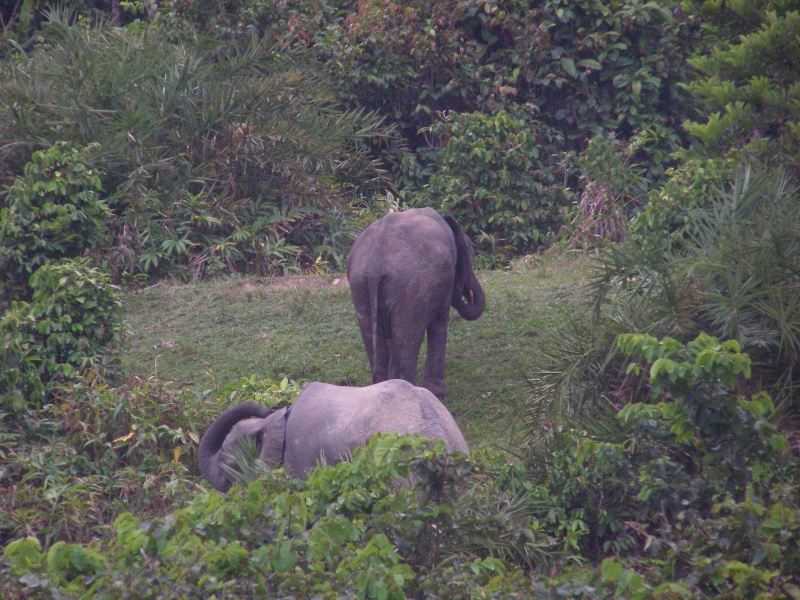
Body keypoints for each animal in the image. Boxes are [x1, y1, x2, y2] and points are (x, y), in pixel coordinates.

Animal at [346, 206, 484, 398]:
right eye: (471, 259)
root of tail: (375, 267)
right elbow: (440, 323)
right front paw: (440, 394)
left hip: (360, 287)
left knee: (375, 343)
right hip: (411, 290)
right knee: (408, 341)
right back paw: (415, 393)